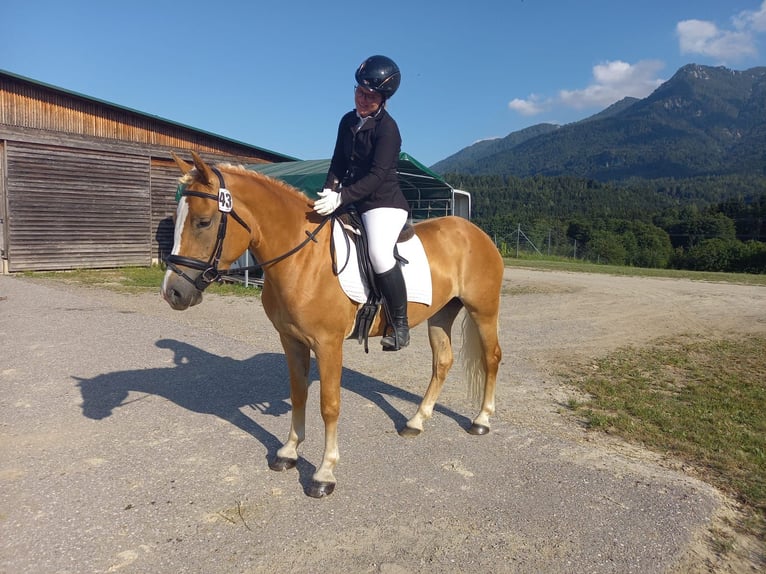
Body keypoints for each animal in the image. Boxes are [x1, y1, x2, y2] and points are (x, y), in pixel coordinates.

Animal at [161, 151, 504, 498]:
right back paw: (416, 421)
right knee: (442, 362)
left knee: (491, 358)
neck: (303, 259)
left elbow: (329, 404)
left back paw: (481, 420)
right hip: (441, 314)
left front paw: (324, 473)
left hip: (483, 311)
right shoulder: (291, 340)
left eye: (203, 222)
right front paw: (288, 453)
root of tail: (473, 231)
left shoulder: (327, 345)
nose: (172, 292)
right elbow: (299, 394)